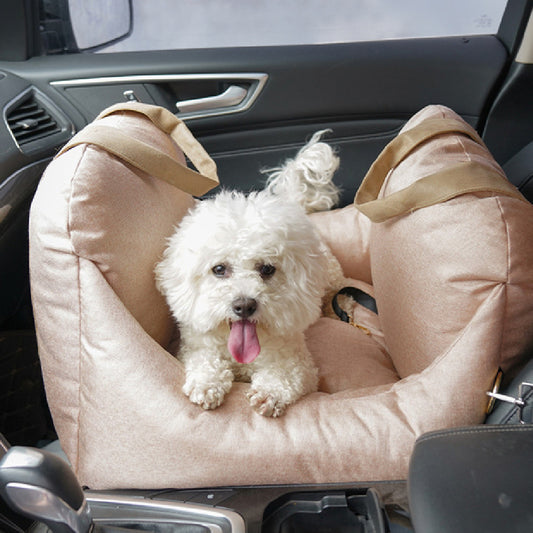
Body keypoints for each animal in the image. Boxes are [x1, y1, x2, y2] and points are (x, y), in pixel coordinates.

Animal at [156, 132, 342, 416]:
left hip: (331, 277)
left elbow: (285, 374)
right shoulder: (196, 346)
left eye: (267, 269)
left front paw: (270, 394)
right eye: (219, 269)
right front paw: (206, 385)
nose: (244, 306)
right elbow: (204, 359)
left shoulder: (299, 364)